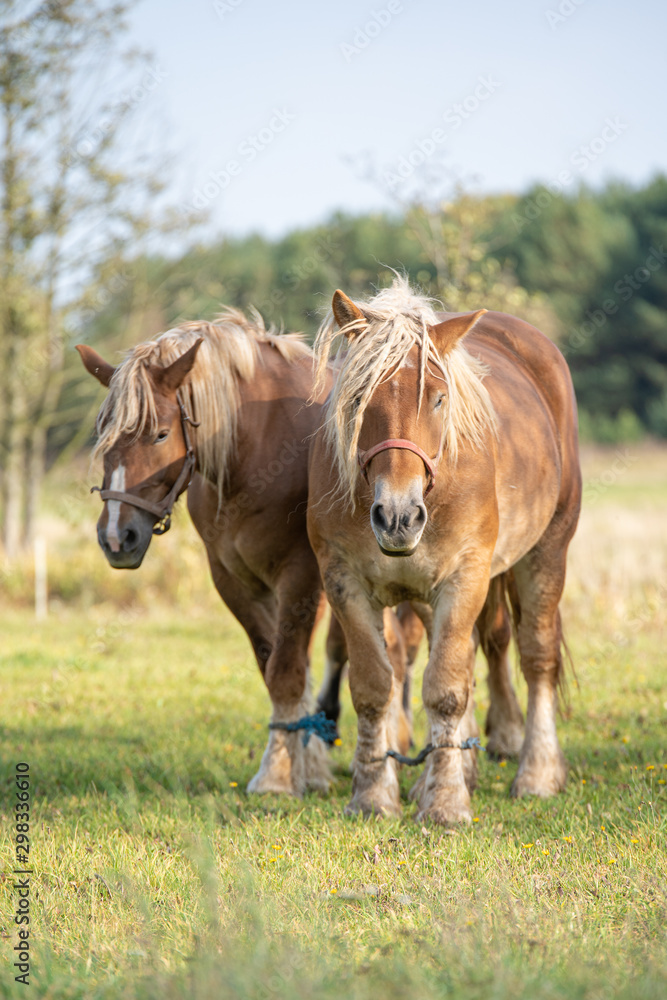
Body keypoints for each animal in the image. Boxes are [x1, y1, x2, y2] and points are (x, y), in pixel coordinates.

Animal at [76, 308, 344, 798]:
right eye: (104, 437)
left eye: (160, 434)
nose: (117, 537)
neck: (260, 443)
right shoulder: (233, 579)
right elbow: (274, 666)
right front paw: (300, 765)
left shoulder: (302, 577)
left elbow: (287, 671)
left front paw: (278, 776)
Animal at [307, 278, 581, 825]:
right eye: (359, 398)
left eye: (437, 399)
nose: (397, 516)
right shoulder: (344, 582)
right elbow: (374, 687)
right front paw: (375, 794)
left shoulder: (466, 576)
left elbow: (447, 691)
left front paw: (448, 802)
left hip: (546, 552)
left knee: (536, 655)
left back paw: (537, 773)